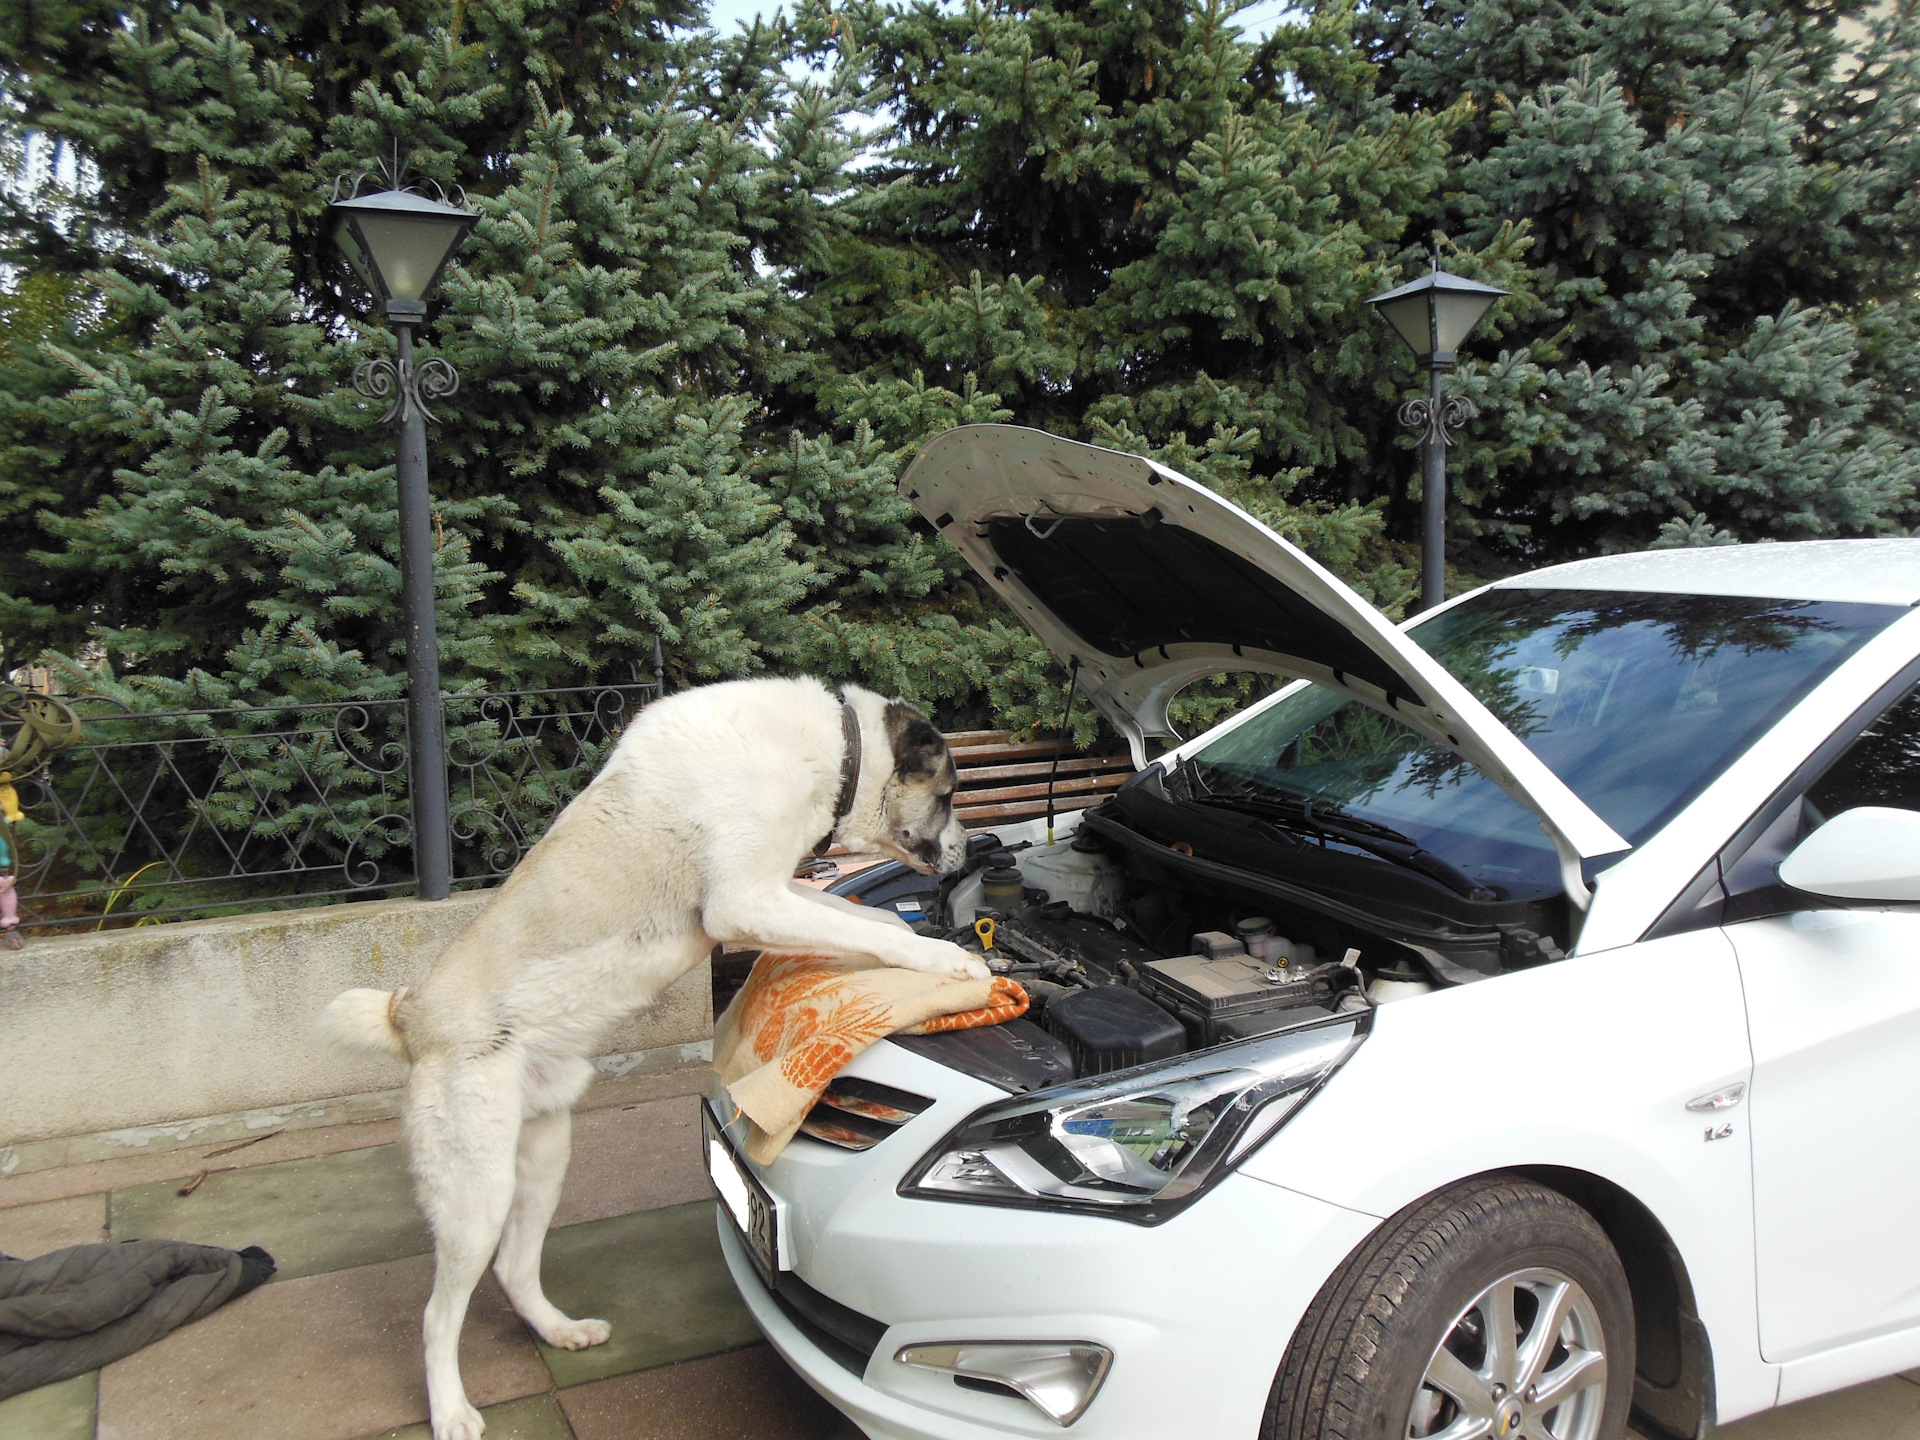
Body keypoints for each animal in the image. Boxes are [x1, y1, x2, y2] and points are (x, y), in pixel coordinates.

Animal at [318, 679, 975, 1440]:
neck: (832, 749)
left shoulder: (782, 892)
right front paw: (951, 962)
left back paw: (561, 1331)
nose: (966, 854)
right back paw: (451, 1411)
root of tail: (411, 1014)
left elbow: (871, 920)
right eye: (948, 796)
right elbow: (876, 929)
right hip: (475, 1191)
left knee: (514, 1267)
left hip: (543, 1156)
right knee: (435, 1315)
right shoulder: (744, 903)